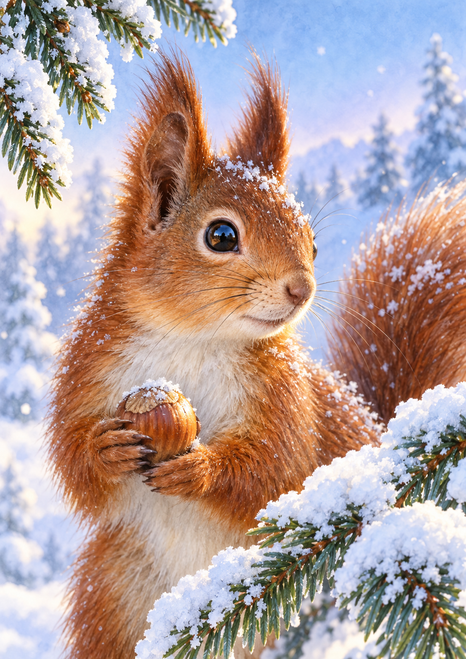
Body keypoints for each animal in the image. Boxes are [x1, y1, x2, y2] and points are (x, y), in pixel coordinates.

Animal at [47, 48, 466, 659]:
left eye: (311, 240)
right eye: (221, 236)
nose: (302, 288)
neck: (194, 338)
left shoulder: (287, 400)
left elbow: (275, 470)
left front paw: (200, 469)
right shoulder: (90, 368)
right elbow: (73, 460)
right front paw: (105, 449)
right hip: (113, 593)